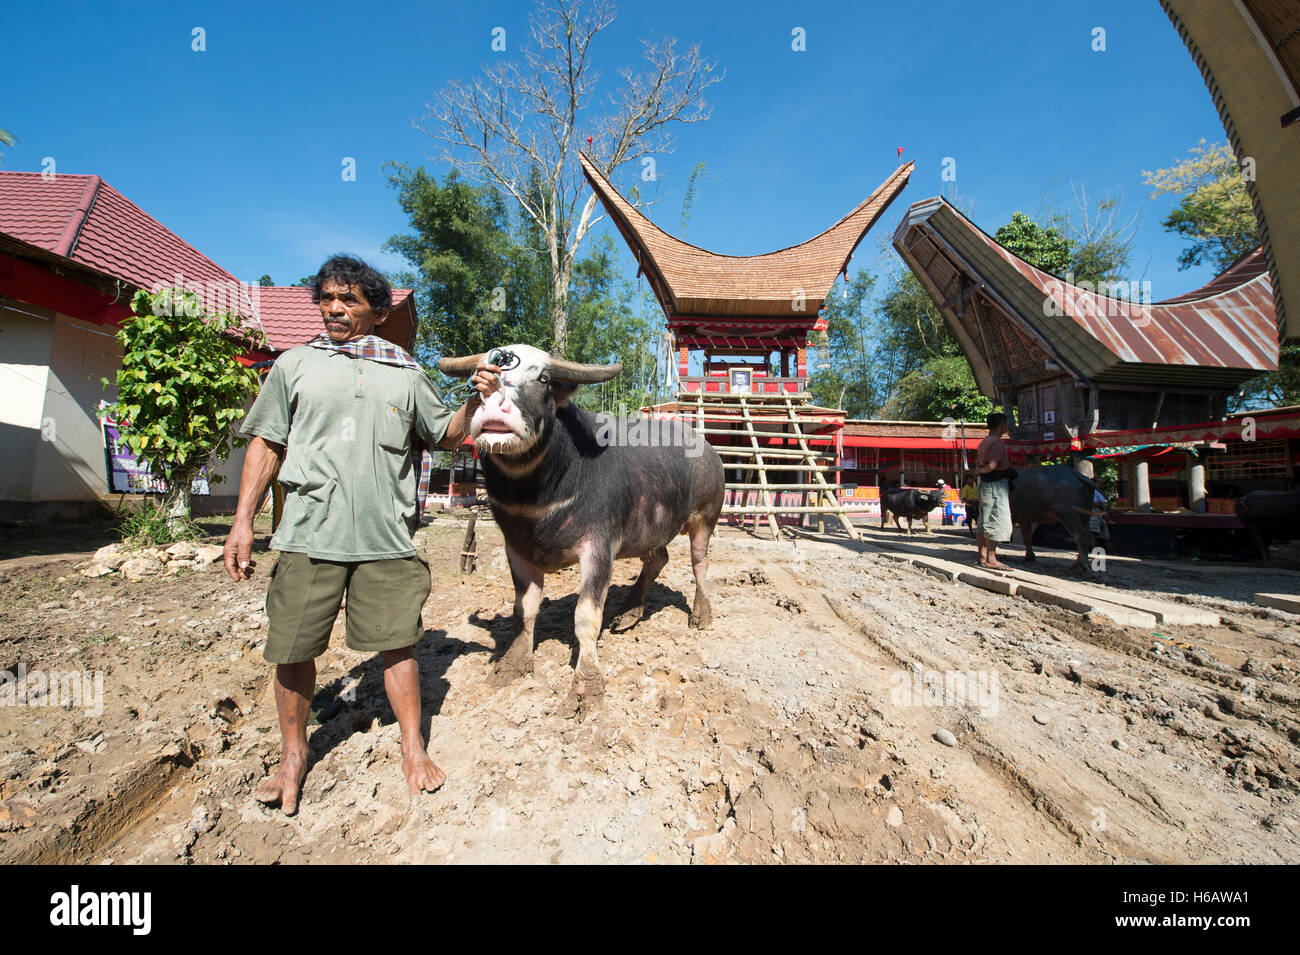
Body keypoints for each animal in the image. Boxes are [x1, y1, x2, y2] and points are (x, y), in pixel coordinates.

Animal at [439, 343, 728, 712]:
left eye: (543, 379)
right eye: (478, 377)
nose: (493, 408)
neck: (539, 495)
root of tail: (708, 450)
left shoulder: (598, 547)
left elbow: (586, 616)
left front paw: (586, 685)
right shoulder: (516, 548)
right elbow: (524, 610)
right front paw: (513, 663)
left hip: (704, 518)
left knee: (699, 563)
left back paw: (701, 614)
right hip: (650, 528)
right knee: (658, 559)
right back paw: (631, 612)